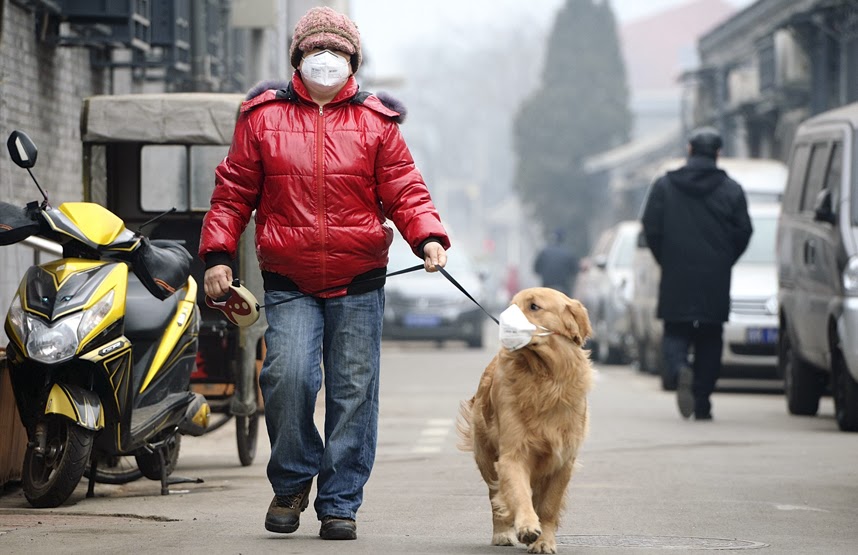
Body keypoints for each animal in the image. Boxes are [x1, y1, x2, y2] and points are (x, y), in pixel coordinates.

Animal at [458, 288, 592, 552]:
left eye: (534, 307)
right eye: (512, 304)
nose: (504, 320)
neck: (545, 378)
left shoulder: (563, 460)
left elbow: (549, 506)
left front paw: (545, 541)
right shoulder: (513, 453)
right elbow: (518, 493)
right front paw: (527, 527)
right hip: (486, 456)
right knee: (495, 497)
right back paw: (502, 533)